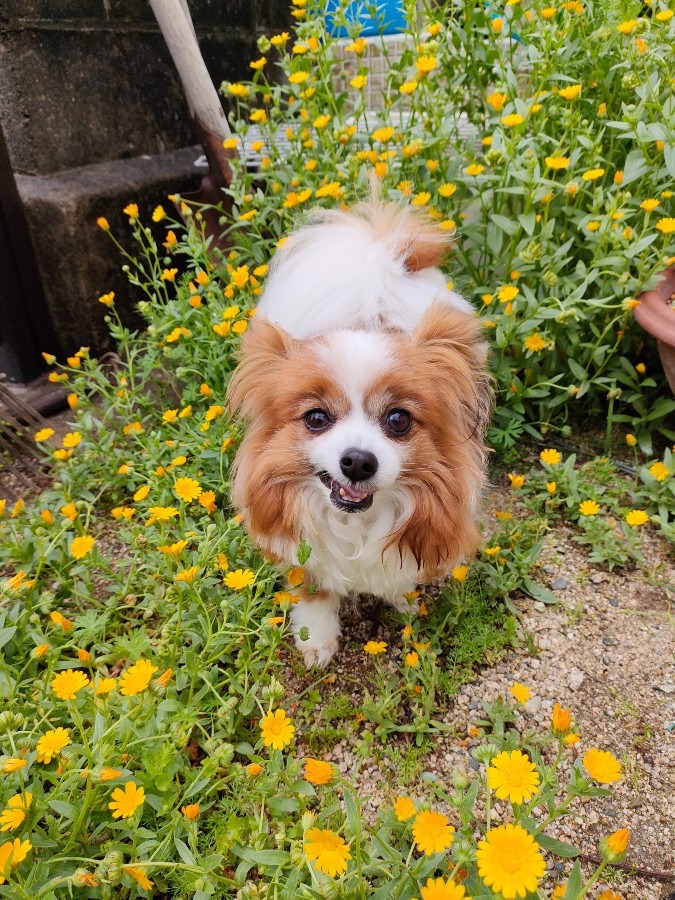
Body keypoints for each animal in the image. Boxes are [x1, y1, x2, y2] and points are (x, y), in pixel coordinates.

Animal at [227, 202, 492, 668]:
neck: (357, 523)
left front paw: (403, 599)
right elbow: (314, 592)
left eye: (398, 419)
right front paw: (316, 639)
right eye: (316, 417)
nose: (357, 461)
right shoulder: (298, 545)